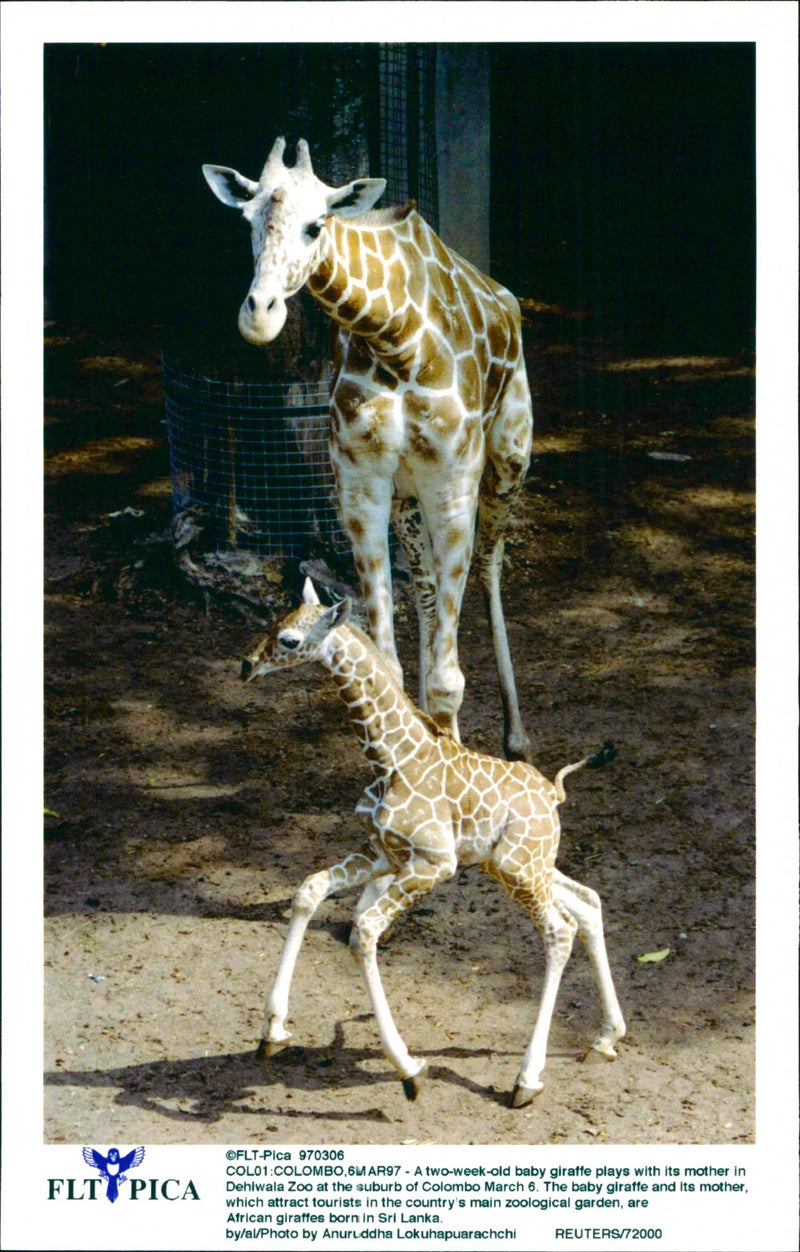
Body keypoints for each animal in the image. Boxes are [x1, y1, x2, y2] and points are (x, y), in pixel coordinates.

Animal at [203, 137, 534, 761]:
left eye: (316, 226)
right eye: (248, 222)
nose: (258, 316)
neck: (394, 338)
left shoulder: (453, 489)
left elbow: (448, 678)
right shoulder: (362, 490)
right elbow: (392, 663)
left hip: (509, 458)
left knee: (490, 565)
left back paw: (516, 737)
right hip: (409, 500)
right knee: (425, 586)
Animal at [241, 578, 626, 1107]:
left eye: (289, 640)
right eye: (274, 622)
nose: (246, 665)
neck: (390, 759)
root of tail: (553, 793)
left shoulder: (432, 863)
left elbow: (364, 931)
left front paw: (408, 1068)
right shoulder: (382, 852)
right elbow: (309, 889)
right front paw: (272, 1031)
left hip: (519, 867)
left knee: (559, 930)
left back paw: (527, 1079)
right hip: (517, 865)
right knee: (588, 903)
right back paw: (606, 1037)